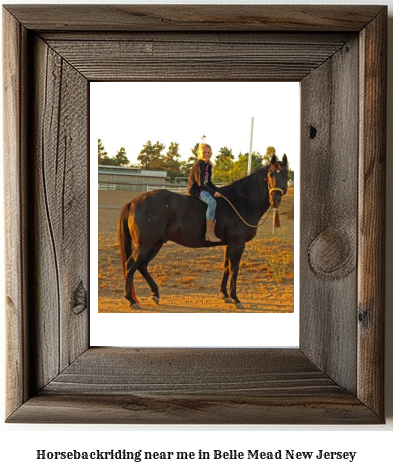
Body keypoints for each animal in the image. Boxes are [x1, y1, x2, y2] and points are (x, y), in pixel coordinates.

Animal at [116, 153, 288, 312]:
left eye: (286, 176)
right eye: (270, 175)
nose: (275, 200)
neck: (241, 201)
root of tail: (133, 202)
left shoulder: (229, 244)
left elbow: (226, 267)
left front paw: (225, 295)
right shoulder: (237, 243)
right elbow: (234, 269)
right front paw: (235, 298)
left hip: (156, 243)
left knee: (142, 266)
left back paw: (155, 294)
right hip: (145, 245)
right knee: (131, 266)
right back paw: (131, 300)